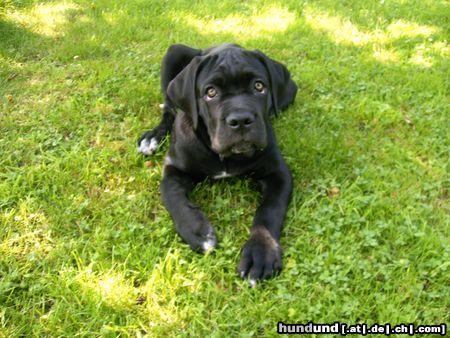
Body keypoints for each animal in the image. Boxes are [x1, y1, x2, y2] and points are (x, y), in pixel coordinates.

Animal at [139, 43, 298, 286]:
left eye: (259, 86)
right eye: (210, 92)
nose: (240, 120)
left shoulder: (278, 173)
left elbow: (270, 209)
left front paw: (261, 252)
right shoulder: (173, 169)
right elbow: (172, 195)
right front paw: (197, 231)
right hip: (174, 54)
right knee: (168, 110)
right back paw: (152, 138)